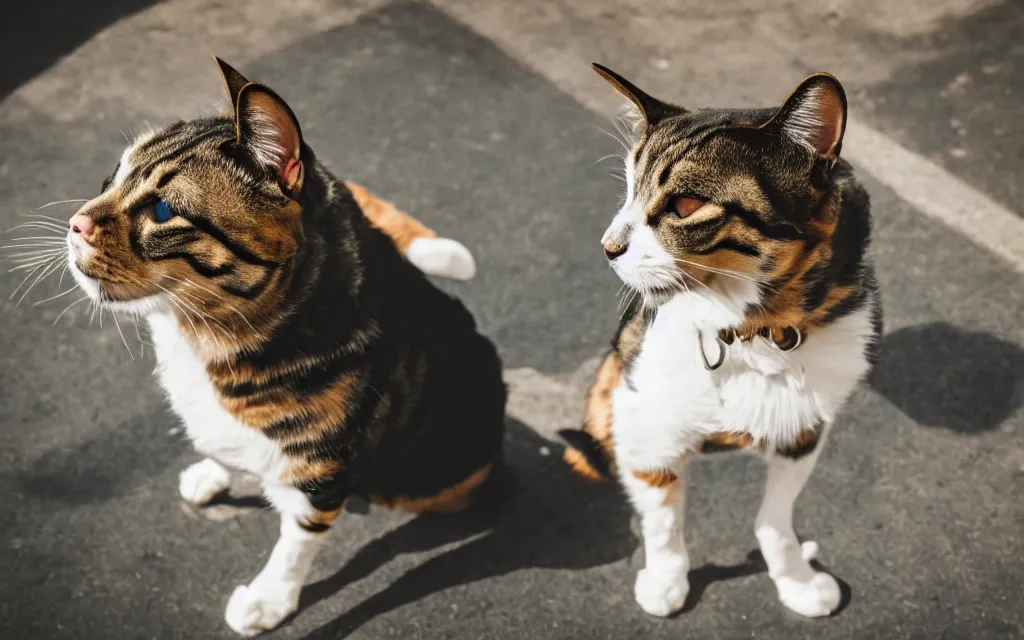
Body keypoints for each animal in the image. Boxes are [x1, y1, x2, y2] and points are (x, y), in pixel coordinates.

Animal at [61, 58, 505, 634]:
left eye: (161, 210)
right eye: (112, 177)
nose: (74, 225)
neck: (201, 337)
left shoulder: (321, 476)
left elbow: (293, 547)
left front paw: (269, 601)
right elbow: (222, 445)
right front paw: (213, 470)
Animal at [561, 65, 880, 618]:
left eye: (687, 205)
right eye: (629, 189)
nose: (608, 247)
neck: (755, 330)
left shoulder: (805, 428)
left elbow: (776, 519)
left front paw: (795, 577)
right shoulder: (644, 421)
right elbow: (664, 519)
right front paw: (666, 581)